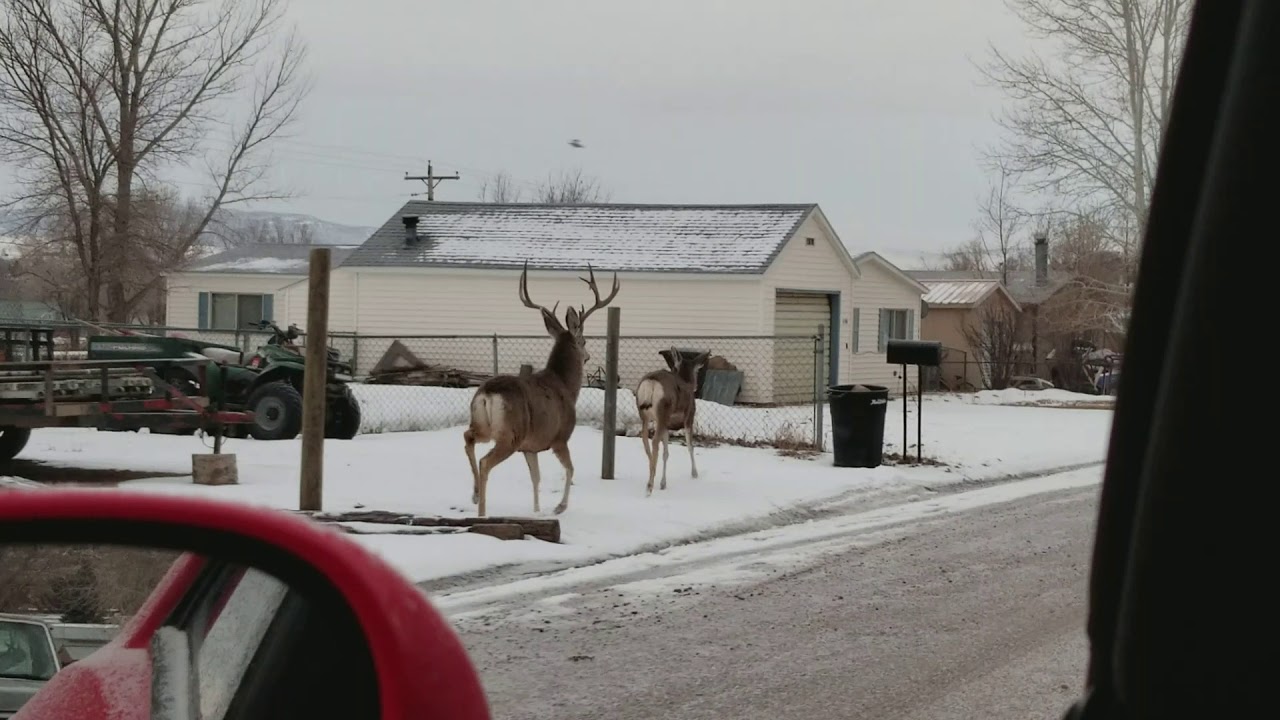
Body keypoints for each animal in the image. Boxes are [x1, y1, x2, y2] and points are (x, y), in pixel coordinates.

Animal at [463, 261, 620, 517]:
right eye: (584, 341)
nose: (587, 356)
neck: (566, 387)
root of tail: (487, 395)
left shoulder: (531, 447)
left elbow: (536, 477)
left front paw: (536, 511)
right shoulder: (560, 437)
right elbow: (570, 469)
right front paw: (559, 507)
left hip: (484, 425)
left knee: (467, 438)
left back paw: (475, 495)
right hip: (511, 434)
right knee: (485, 462)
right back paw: (482, 510)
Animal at [635, 348, 710, 496]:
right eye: (697, 370)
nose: (697, 386)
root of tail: (651, 382)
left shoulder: (667, 426)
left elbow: (666, 453)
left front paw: (663, 483)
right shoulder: (689, 419)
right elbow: (690, 447)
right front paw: (694, 474)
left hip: (645, 415)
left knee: (645, 440)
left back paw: (651, 476)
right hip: (663, 411)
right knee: (654, 441)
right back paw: (650, 486)